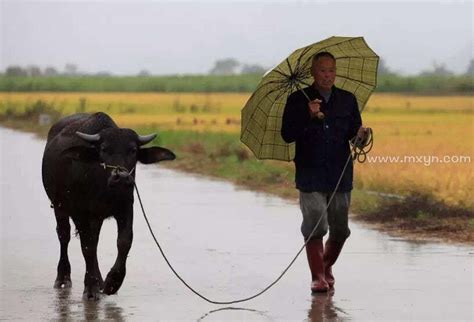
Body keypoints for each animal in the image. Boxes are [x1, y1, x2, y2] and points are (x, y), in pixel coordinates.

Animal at [41, 111, 175, 300]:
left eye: (133, 150)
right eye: (104, 149)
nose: (122, 177)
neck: (103, 187)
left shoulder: (125, 207)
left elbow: (124, 241)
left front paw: (112, 282)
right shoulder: (80, 213)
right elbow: (87, 247)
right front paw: (90, 288)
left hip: (95, 217)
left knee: (94, 240)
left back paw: (99, 280)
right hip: (59, 206)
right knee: (64, 236)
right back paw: (63, 278)